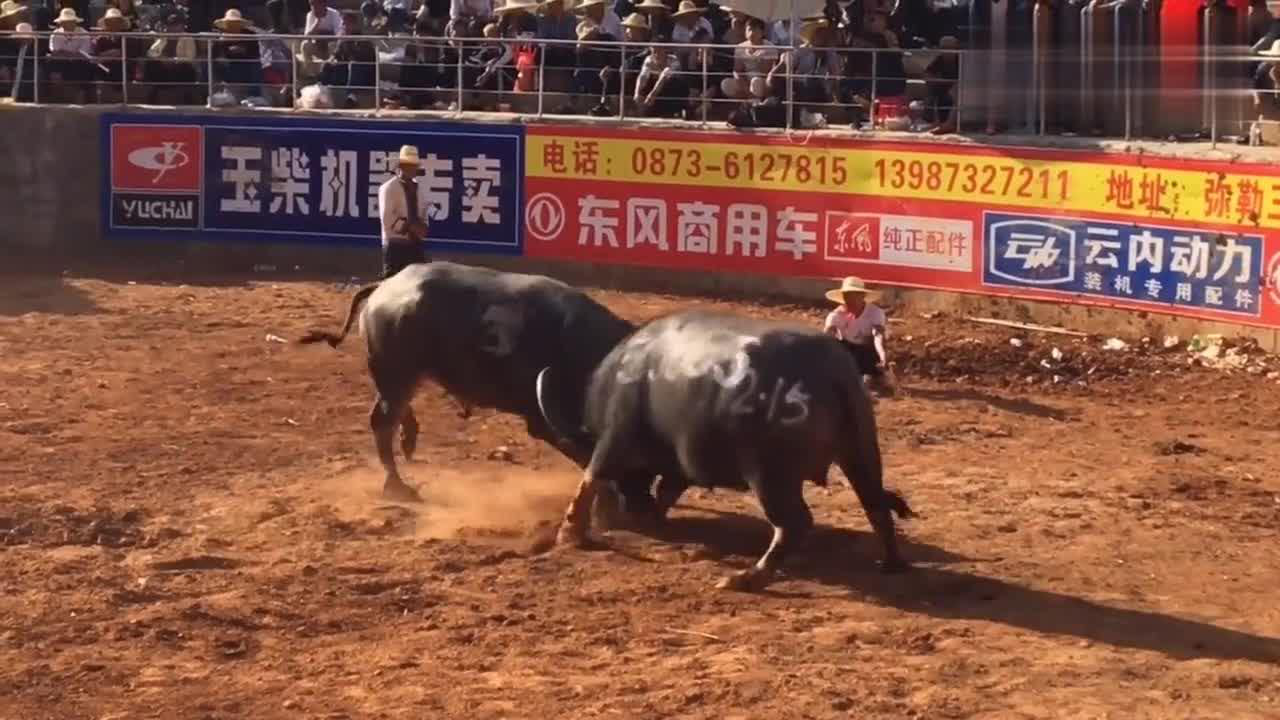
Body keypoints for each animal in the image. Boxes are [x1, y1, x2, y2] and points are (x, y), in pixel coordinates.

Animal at [535, 308, 916, 589]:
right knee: (875, 505)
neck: (630, 369)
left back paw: (748, 577)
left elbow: (591, 477)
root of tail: (833, 372)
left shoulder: (615, 439)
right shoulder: (680, 458)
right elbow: (668, 488)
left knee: (795, 523)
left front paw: (569, 535)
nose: (633, 509)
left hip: (770, 474)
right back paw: (891, 563)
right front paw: (657, 518)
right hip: (861, 453)